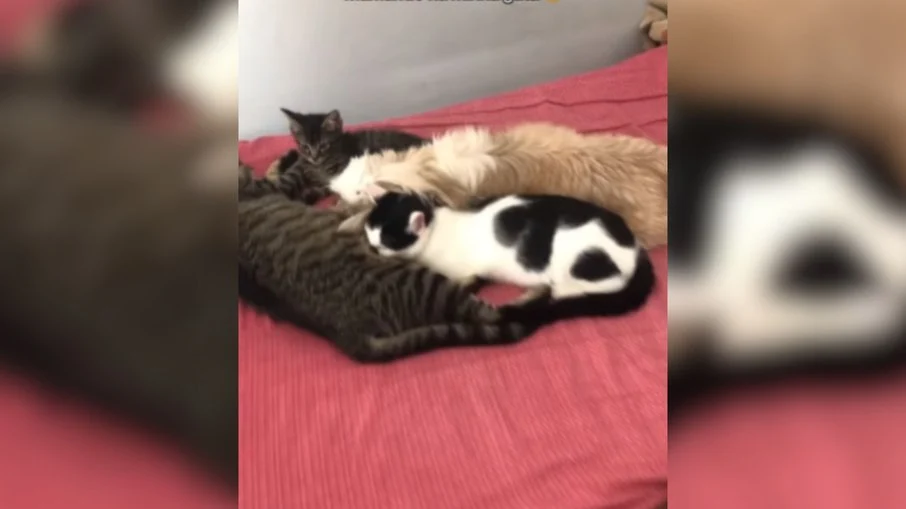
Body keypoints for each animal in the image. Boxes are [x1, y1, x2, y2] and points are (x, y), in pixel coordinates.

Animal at [262, 108, 427, 204]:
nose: (314, 158)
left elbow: (329, 187)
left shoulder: (341, 173)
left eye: (324, 146)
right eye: (305, 147)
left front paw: (308, 195)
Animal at [358, 188, 656, 324]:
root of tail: (635, 245)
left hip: (578, 261)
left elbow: (465, 282)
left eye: (387, 242)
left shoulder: (470, 272)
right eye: (370, 231)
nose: (372, 248)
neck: (437, 225)